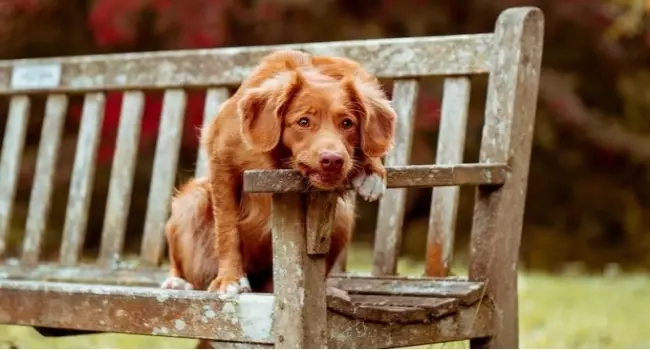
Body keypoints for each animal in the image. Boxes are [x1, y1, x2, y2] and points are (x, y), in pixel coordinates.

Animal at [161, 49, 394, 296]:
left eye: (348, 123)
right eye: (303, 121)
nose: (332, 160)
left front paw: (372, 170)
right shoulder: (222, 163)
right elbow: (227, 230)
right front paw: (230, 279)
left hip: (341, 216)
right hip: (191, 200)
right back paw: (177, 281)